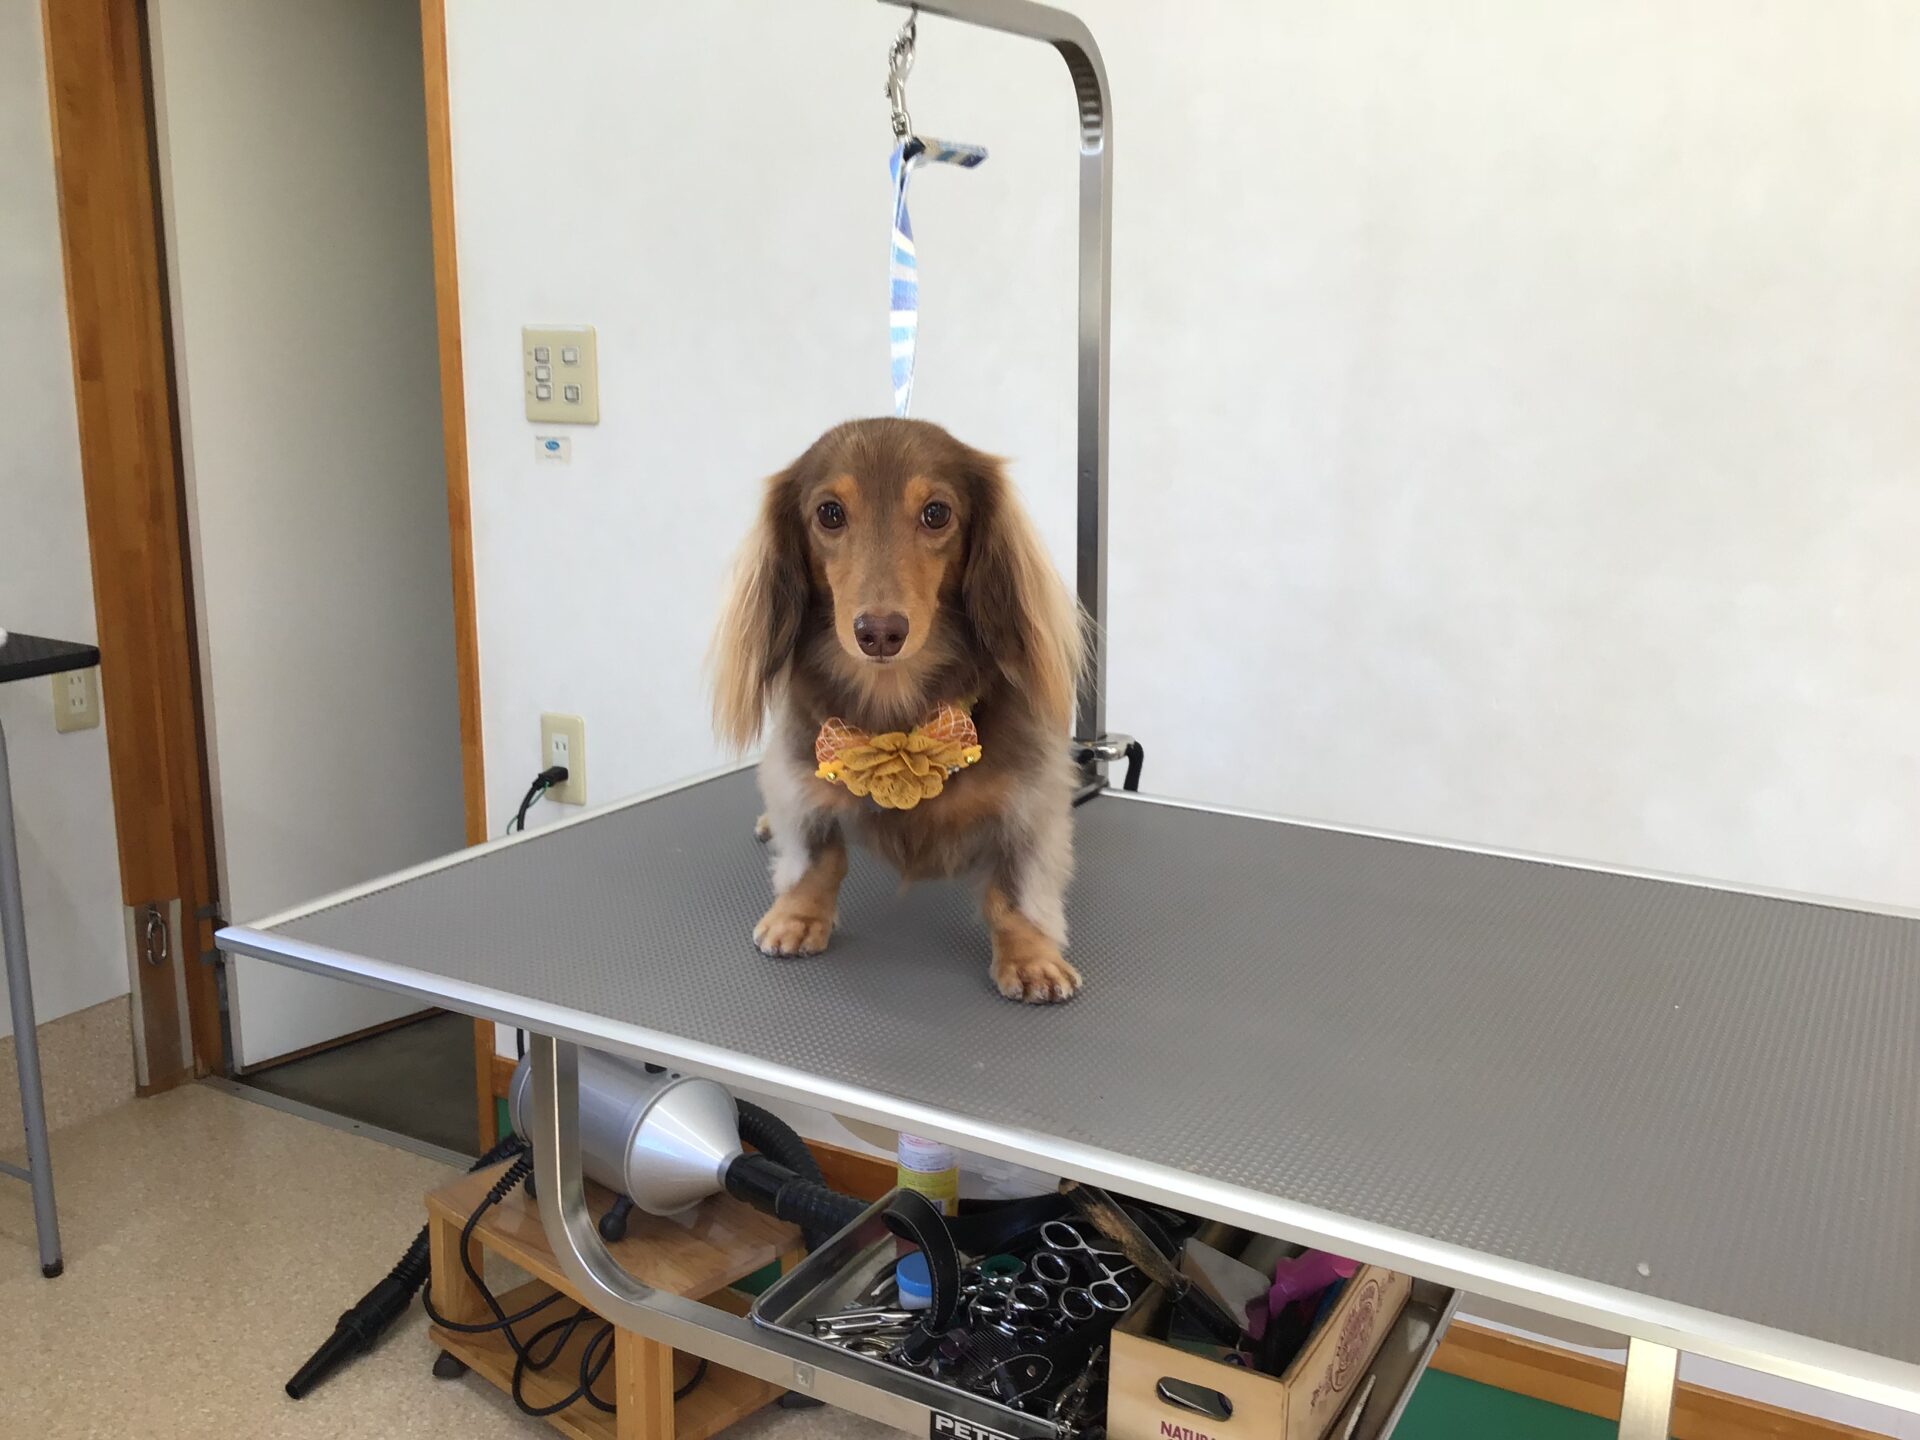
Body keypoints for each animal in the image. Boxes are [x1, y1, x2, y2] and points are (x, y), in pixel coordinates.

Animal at [711, 417, 1085, 1003]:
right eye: (829, 513)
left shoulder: (1030, 797)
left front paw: (1032, 957)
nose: (880, 633)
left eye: (936, 513)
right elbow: (816, 853)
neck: (894, 702)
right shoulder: (801, 768)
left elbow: (1016, 887)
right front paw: (797, 916)